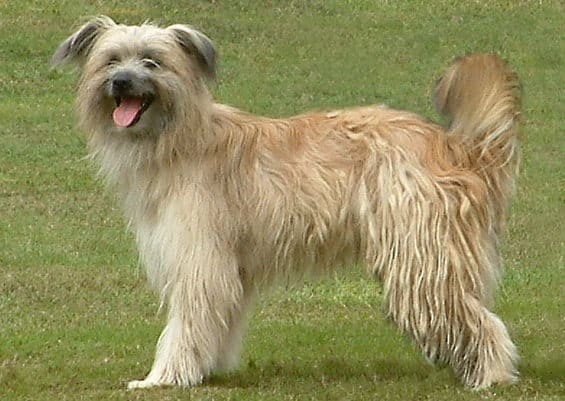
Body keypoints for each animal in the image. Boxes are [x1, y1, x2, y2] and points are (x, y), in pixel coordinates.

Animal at [51, 17, 520, 390]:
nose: (120, 82)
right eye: (111, 60)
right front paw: (207, 368)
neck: (180, 139)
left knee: (479, 320)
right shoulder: (229, 268)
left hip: (421, 259)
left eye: (152, 61)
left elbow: (186, 323)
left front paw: (164, 377)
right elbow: (218, 321)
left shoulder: (199, 259)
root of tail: (455, 146)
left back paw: (491, 376)